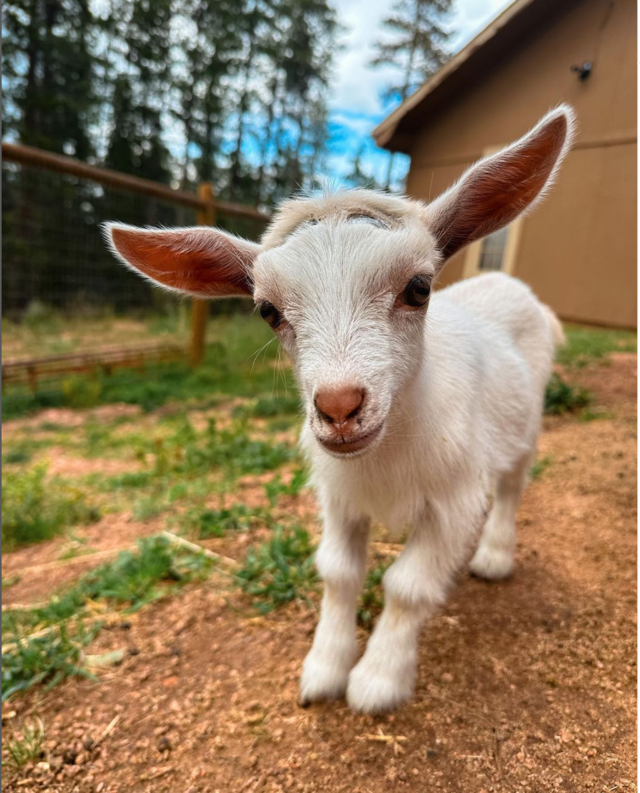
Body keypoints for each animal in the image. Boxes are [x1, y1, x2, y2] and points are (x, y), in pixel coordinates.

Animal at [104, 102, 576, 716]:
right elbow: (339, 574)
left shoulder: (453, 502)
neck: (388, 456)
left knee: (514, 485)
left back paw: (495, 556)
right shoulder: (339, 499)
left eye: (419, 287)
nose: (339, 408)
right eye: (268, 311)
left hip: (526, 423)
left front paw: (378, 680)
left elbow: (407, 585)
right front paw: (325, 668)